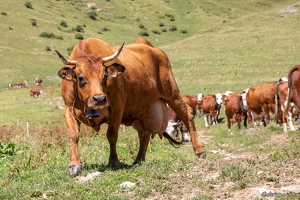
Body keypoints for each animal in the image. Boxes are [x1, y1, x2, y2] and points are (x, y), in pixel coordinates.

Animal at [54, 38, 206, 177]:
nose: (100, 99)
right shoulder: (68, 108)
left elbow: (112, 135)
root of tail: (152, 48)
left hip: (172, 93)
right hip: (141, 111)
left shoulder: (117, 107)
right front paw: (74, 165)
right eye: (80, 77)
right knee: (145, 133)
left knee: (187, 114)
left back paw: (199, 150)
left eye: (105, 76)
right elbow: (73, 135)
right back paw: (138, 160)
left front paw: (114, 161)